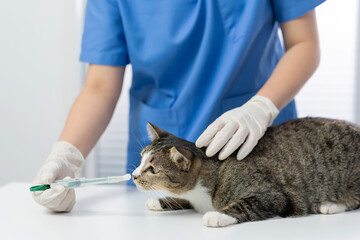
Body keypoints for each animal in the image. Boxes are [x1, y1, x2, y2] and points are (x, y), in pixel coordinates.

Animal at [132, 117, 360, 227]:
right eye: (141, 159)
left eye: (152, 169)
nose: (134, 175)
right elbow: (183, 198)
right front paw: (161, 201)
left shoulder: (274, 196)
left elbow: (247, 204)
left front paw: (218, 216)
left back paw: (331, 204)